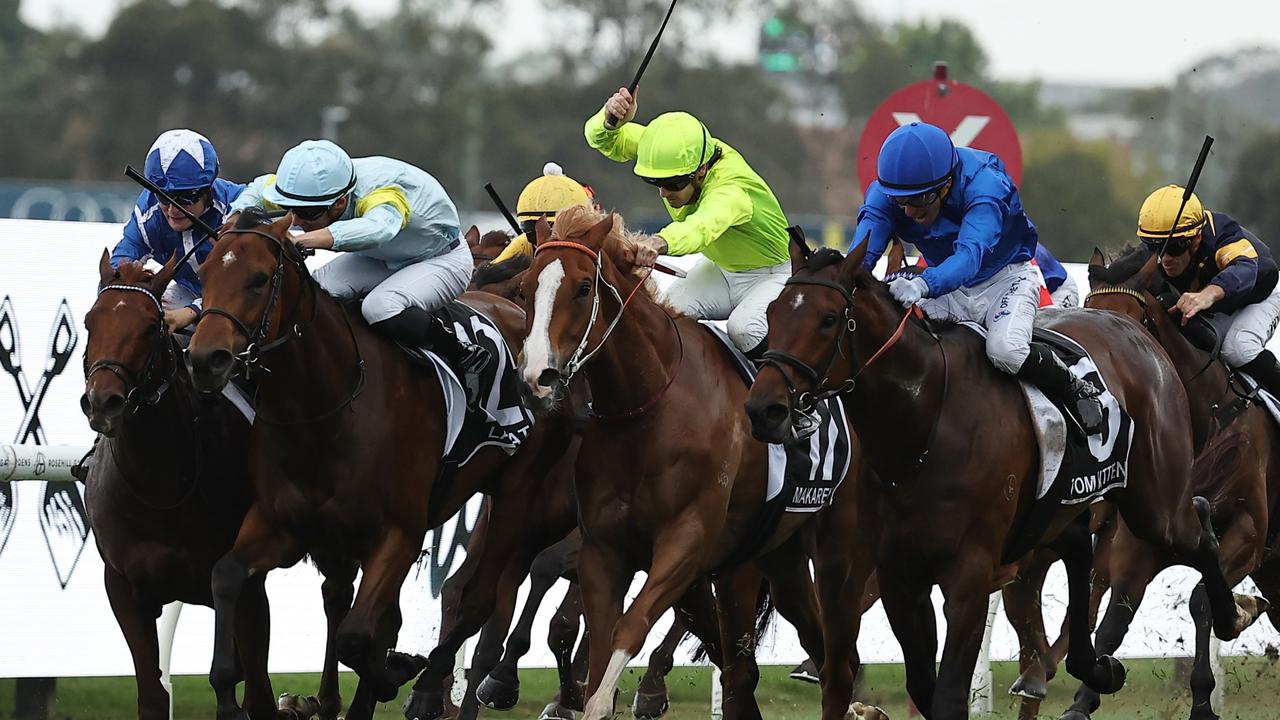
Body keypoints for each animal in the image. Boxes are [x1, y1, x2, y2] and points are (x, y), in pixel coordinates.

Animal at [181, 211, 576, 717]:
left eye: (259, 278)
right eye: (205, 273)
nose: (204, 360)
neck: (327, 409)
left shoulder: (397, 535)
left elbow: (357, 634)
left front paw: (395, 672)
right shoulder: (284, 524)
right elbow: (226, 576)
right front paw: (232, 693)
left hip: (516, 495)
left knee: (478, 598)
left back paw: (435, 686)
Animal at [514, 206, 875, 717]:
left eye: (583, 287)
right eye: (525, 287)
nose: (537, 378)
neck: (647, 409)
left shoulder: (686, 542)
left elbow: (630, 629)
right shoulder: (604, 551)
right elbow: (603, 644)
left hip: (836, 552)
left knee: (834, 660)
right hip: (775, 559)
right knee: (788, 655)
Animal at [747, 242, 1244, 717]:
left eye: (829, 319)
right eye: (773, 312)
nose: (763, 408)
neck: (924, 422)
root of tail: (1135, 330)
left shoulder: (969, 577)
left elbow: (947, 696)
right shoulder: (899, 577)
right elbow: (923, 687)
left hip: (1154, 504)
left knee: (1199, 530)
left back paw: (1230, 617)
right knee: (1080, 547)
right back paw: (1096, 667)